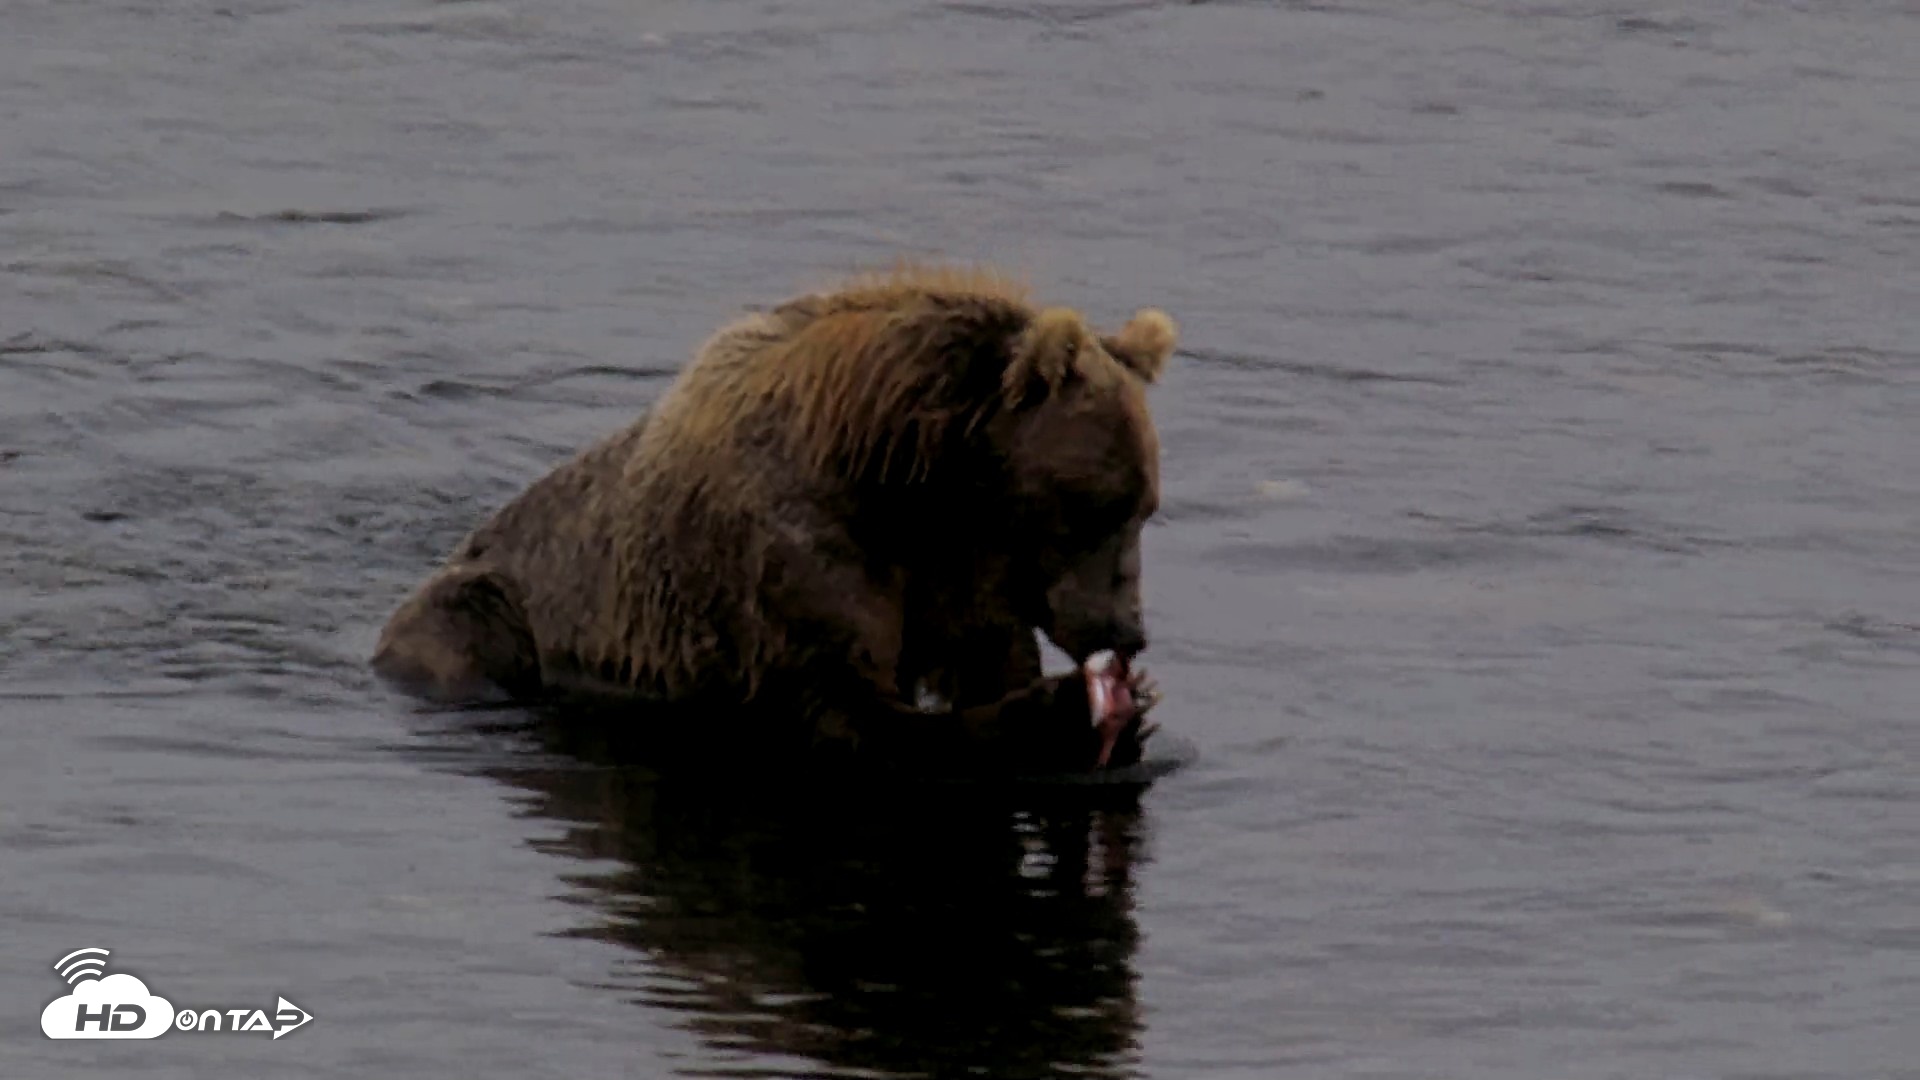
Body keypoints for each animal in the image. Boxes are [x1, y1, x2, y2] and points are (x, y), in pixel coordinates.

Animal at [372, 264, 1178, 776]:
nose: (1129, 630)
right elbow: (854, 713)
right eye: (1102, 506)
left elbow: (984, 656)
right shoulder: (791, 557)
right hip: (486, 611)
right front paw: (1062, 710)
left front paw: (1131, 711)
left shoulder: (960, 570)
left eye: (1146, 508)